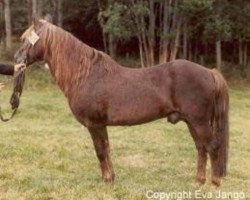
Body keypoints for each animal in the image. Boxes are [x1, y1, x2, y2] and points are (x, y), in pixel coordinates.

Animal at [13, 19, 229, 186]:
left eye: (26, 40)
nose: (16, 58)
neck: (85, 75)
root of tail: (210, 72)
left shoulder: (94, 124)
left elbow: (100, 151)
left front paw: (107, 180)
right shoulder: (101, 125)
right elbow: (106, 149)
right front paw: (111, 178)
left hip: (199, 122)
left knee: (212, 147)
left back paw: (215, 183)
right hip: (192, 122)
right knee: (201, 148)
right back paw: (198, 181)